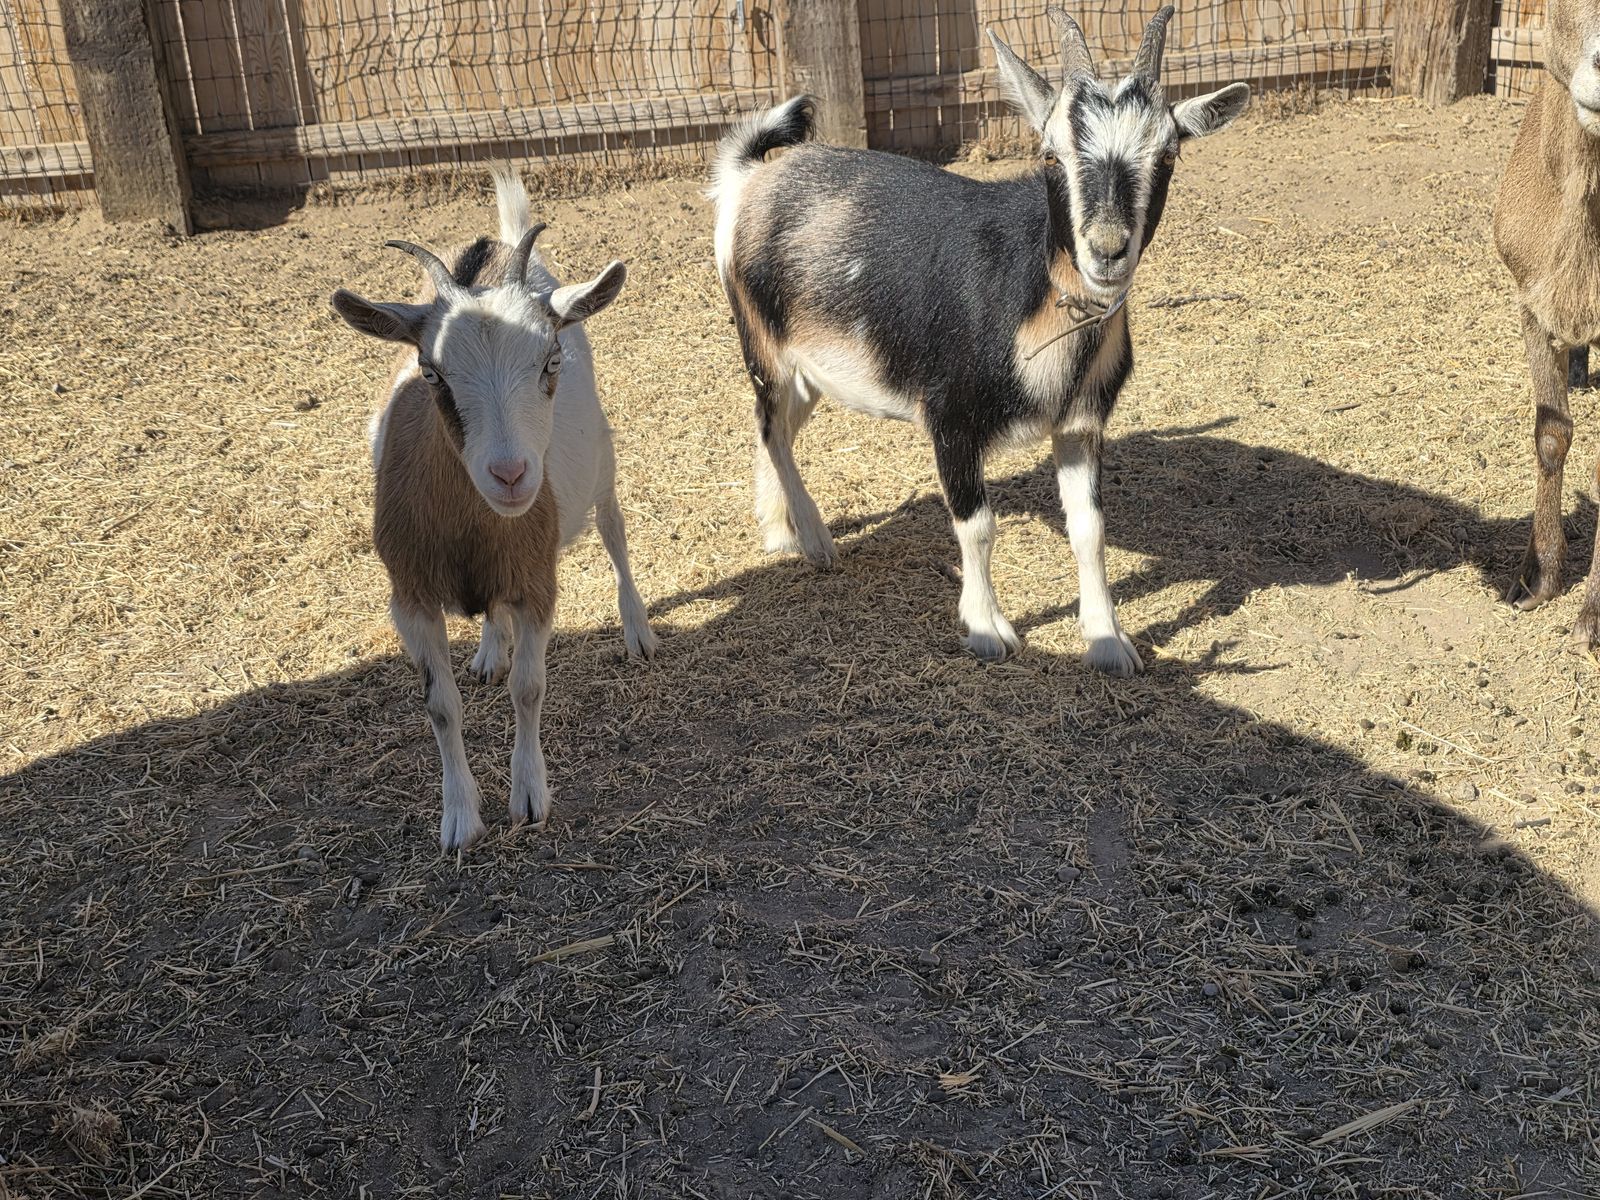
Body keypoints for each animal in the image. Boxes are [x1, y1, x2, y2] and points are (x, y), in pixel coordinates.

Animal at [330, 169, 656, 851]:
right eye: (431, 373)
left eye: (550, 361)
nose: (510, 475)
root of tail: (501, 249)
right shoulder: (410, 596)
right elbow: (440, 706)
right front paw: (459, 818)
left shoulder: (537, 582)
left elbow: (528, 688)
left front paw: (529, 797)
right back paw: (487, 649)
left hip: (602, 462)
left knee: (614, 531)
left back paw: (637, 630)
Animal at [710, 6, 1248, 674]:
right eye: (1050, 155)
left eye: (1169, 156)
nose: (1106, 250)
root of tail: (751, 179)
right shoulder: (951, 418)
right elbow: (977, 525)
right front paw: (988, 627)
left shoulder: (1080, 424)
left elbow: (1089, 529)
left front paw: (1107, 641)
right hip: (763, 344)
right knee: (770, 426)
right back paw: (815, 541)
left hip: (811, 370)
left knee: (776, 426)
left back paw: (781, 533)